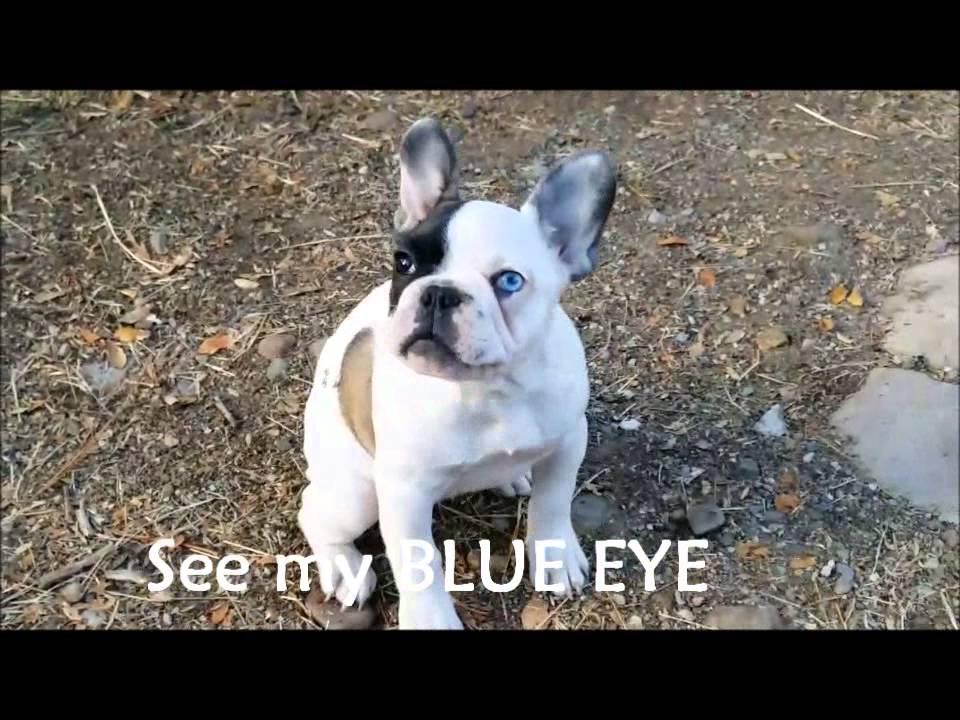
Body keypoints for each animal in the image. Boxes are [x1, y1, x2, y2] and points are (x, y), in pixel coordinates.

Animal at [296, 115, 620, 628]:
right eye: (403, 261)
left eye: (509, 281)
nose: (439, 292)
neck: (489, 392)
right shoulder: (404, 493)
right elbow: (419, 562)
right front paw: (430, 618)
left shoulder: (569, 440)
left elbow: (554, 501)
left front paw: (554, 555)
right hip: (357, 492)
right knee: (314, 513)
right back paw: (343, 567)